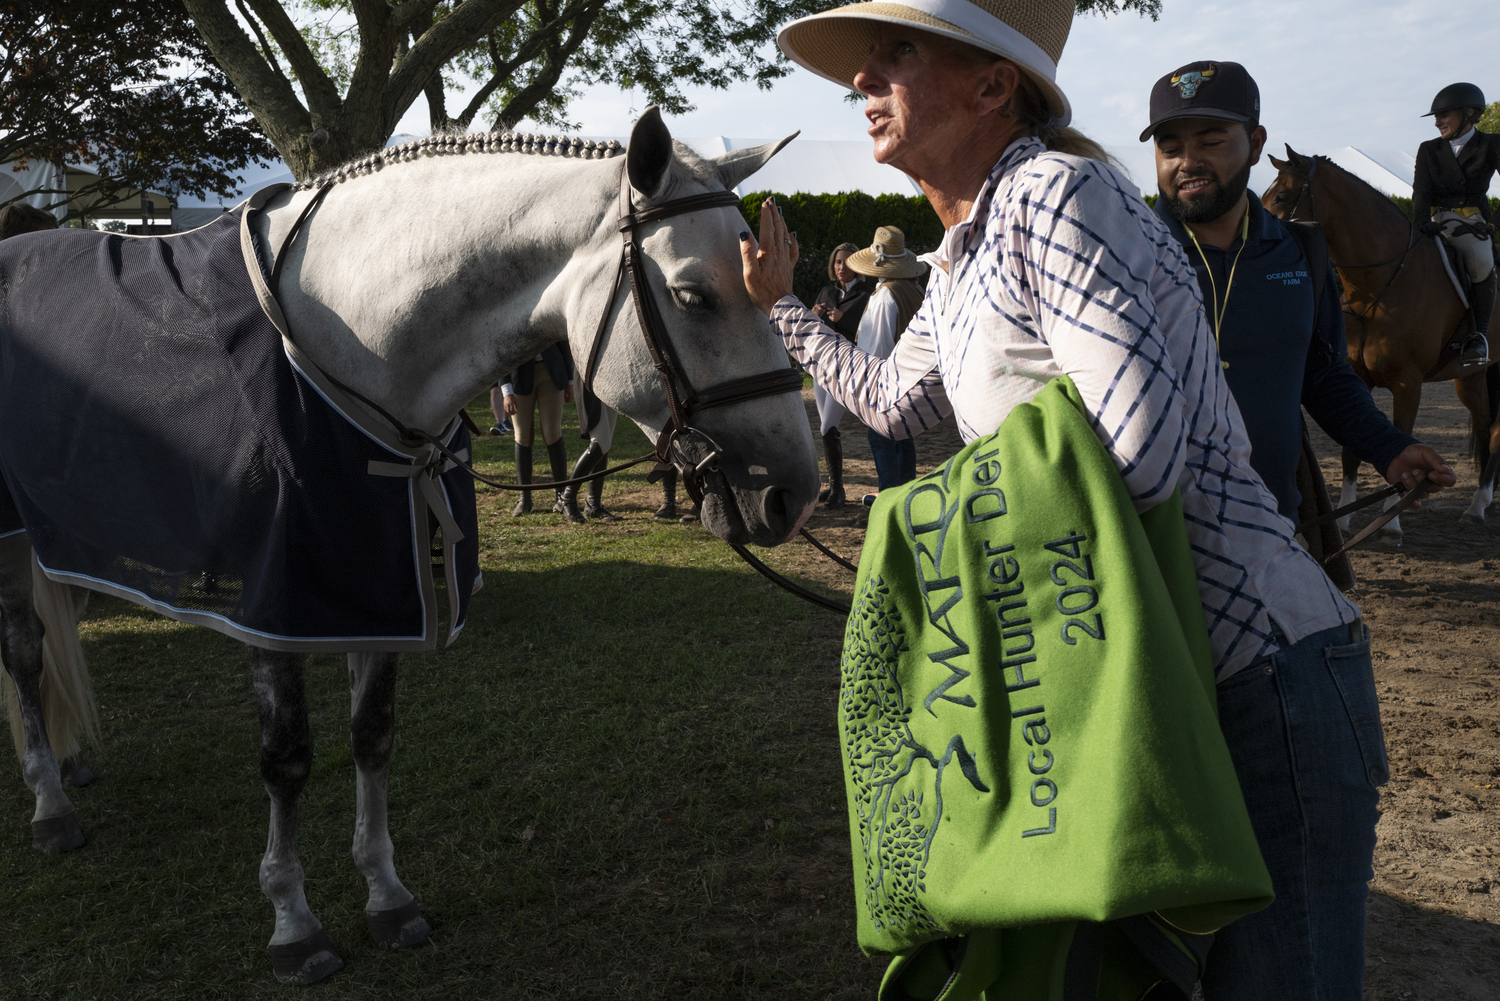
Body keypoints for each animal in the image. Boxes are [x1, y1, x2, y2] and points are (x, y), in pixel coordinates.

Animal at [0, 105, 816, 984]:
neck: (347, 340)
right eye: (694, 295)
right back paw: (50, 803)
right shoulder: (275, 602)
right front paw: (295, 922)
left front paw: (387, 895)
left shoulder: (381, 581)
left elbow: (373, 734)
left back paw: (69, 766)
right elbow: (287, 756)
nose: (792, 492)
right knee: (23, 650)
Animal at [1260, 144, 1494, 537]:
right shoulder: (1358, 376)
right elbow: (1350, 451)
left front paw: (1392, 523)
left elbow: (1405, 442)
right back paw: (1481, 503)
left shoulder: (1408, 383)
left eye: (1280, 197)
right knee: (1488, 426)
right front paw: (1345, 519)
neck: (1379, 285)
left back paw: (1478, 508)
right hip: (1472, 380)